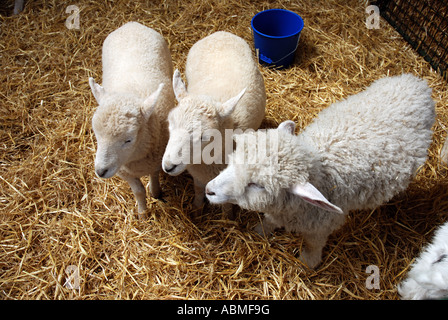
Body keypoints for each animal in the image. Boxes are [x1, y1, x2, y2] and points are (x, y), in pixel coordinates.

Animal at [89, 21, 175, 218]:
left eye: (128, 139)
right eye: (96, 135)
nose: (100, 171)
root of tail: (130, 24)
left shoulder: (157, 158)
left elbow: (154, 177)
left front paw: (155, 193)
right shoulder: (124, 172)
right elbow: (138, 192)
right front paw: (142, 214)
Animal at [162, 30, 264, 208]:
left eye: (205, 136)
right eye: (171, 125)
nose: (168, 166)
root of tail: (221, 32)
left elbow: (226, 204)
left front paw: (227, 214)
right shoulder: (198, 175)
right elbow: (197, 190)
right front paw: (197, 208)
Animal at [206, 73, 434, 268]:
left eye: (257, 185)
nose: (209, 190)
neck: (320, 165)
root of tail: (418, 83)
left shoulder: (322, 224)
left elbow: (313, 244)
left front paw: (308, 263)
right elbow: (269, 221)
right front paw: (260, 230)